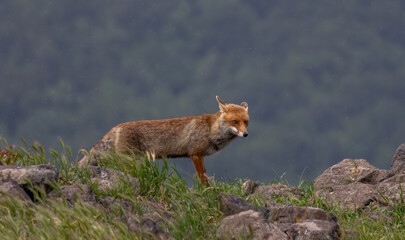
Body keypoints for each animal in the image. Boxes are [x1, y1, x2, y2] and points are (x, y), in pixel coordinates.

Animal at [78, 96, 249, 186]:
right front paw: (206, 191)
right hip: (128, 161)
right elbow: (202, 178)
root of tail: (116, 127)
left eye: (246, 122)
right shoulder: (195, 154)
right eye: (234, 122)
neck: (211, 131)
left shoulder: (199, 156)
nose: (246, 134)